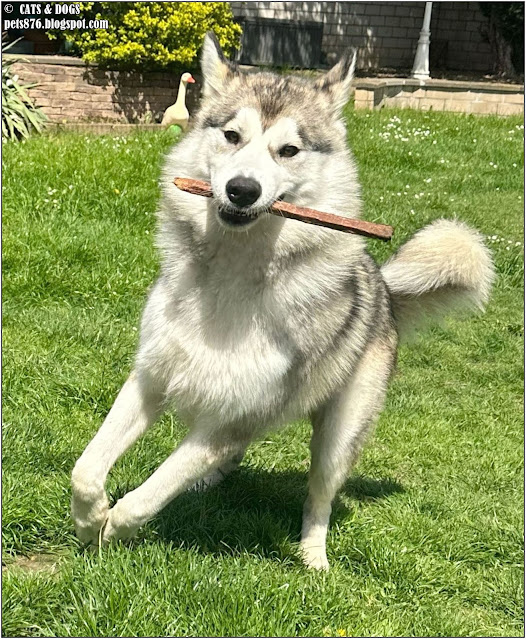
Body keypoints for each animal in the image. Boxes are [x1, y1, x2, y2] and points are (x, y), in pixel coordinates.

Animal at [72, 32, 498, 568]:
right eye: (232, 136)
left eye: (289, 150)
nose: (241, 189)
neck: (232, 277)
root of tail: (381, 287)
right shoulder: (151, 376)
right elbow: (86, 469)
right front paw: (90, 520)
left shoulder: (235, 415)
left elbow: (146, 496)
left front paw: (112, 531)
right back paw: (207, 485)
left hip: (338, 436)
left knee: (320, 497)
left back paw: (313, 556)